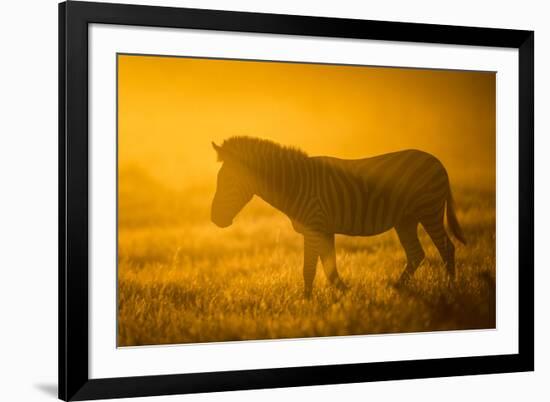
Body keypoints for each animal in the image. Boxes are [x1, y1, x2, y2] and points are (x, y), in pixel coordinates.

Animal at [210, 137, 466, 298]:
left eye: (228, 182)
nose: (214, 219)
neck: (295, 184)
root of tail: (437, 161)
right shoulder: (324, 229)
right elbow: (330, 270)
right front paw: (346, 295)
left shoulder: (314, 227)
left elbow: (310, 269)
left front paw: (306, 302)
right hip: (406, 219)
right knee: (416, 254)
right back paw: (397, 288)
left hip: (429, 210)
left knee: (446, 248)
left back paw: (451, 288)